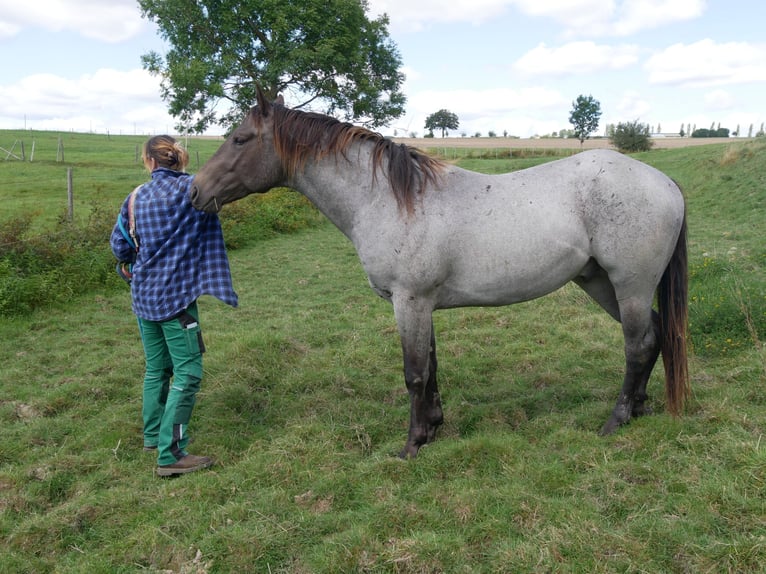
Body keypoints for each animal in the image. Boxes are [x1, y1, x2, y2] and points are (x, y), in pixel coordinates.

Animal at [190, 90, 688, 460]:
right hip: (601, 283)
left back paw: (616, 420)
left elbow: (413, 373)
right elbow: (429, 368)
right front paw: (432, 428)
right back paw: (638, 409)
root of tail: (665, 183)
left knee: (638, 345)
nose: (196, 190)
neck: (389, 199)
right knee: (652, 337)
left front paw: (411, 445)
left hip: (630, 285)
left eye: (240, 139)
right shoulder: (421, 304)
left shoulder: (408, 300)